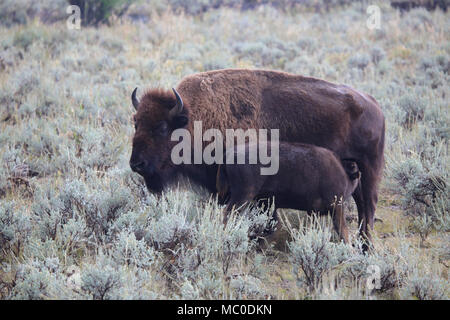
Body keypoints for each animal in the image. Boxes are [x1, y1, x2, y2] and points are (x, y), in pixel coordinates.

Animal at [216, 142, 360, 242]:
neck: (342, 171)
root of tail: (229, 154)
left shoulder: (314, 212)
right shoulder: (337, 207)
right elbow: (342, 230)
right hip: (243, 196)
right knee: (229, 214)